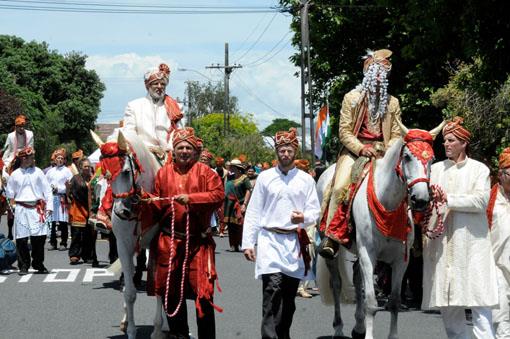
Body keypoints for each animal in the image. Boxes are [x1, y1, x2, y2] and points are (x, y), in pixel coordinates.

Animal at [89, 129, 165, 339]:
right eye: (105, 174)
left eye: (125, 172)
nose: (121, 211)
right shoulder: (123, 246)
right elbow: (129, 292)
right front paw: (130, 329)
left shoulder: (158, 246)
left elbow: (159, 288)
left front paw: (157, 329)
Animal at [318, 123, 442, 339]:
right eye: (407, 156)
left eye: (432, 159)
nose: (420, 199)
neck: (387, 204)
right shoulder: (369, 253)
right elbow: (371, 302)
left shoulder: (401, 260)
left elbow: (394, 302)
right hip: (334, 251)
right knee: (336, 283)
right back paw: (339, 329)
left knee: (357, 277)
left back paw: (358, 327)